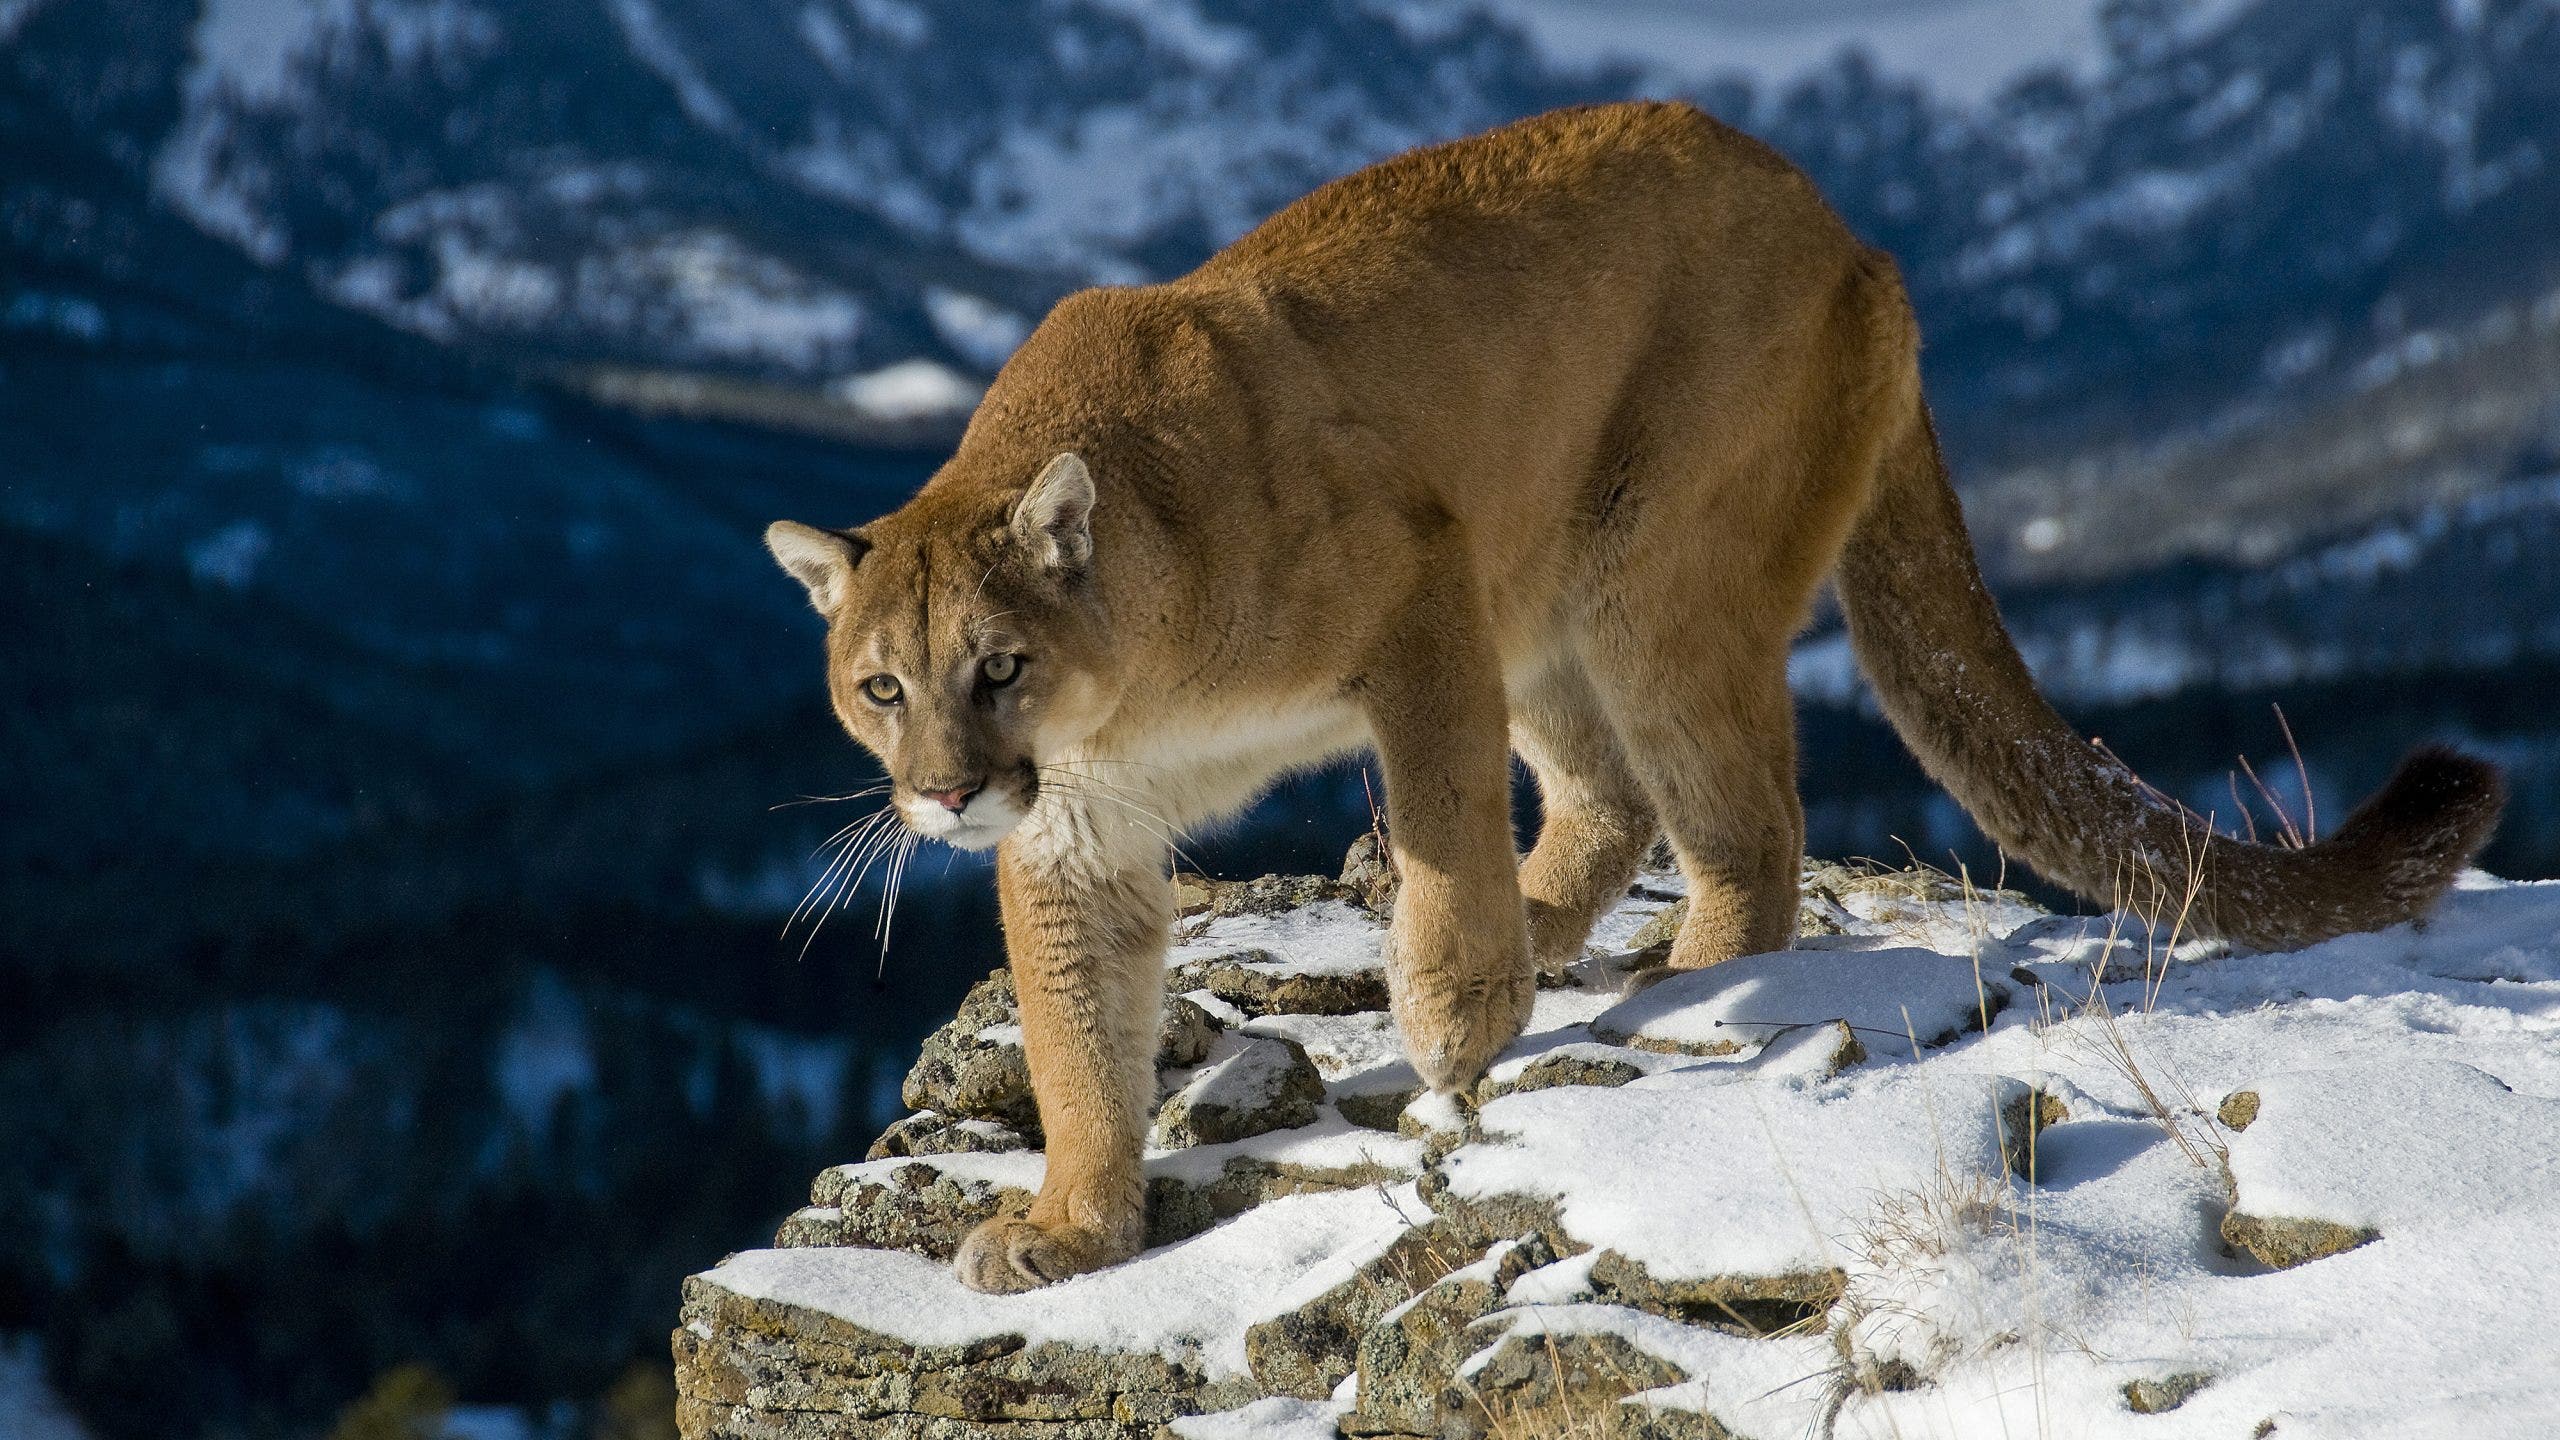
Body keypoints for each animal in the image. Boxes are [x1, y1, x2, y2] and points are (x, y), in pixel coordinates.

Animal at [762, 102, 2503, 1293]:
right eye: (881, 685)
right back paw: (1559, 935)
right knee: (1610, 796)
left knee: (1741, 819)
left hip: (1647, 572)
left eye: (999, 665)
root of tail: (1854, 236)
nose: (945, 791)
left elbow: (1442, 807)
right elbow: (1073, 1035)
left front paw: (1452, 1016)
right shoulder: (1081, 828)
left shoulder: (1421, 584)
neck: (1128, 684)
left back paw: (1682, 977)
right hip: (1552, 595)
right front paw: (1072, 1222)